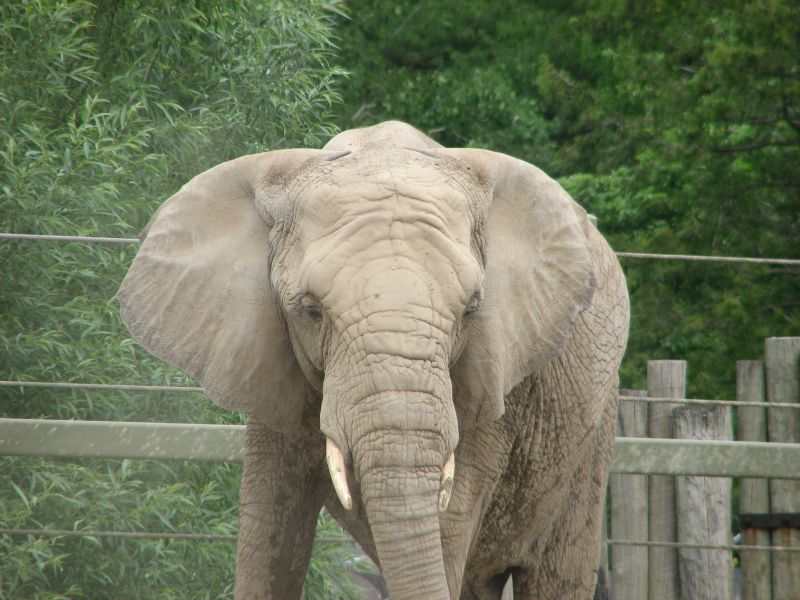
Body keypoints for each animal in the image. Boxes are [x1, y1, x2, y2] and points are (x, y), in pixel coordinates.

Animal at [117, 122, 632, 600]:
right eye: (311, 311)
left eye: (471, 310)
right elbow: (267, 529)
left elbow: (445, 528)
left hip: (592, 436)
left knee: (556, 573)